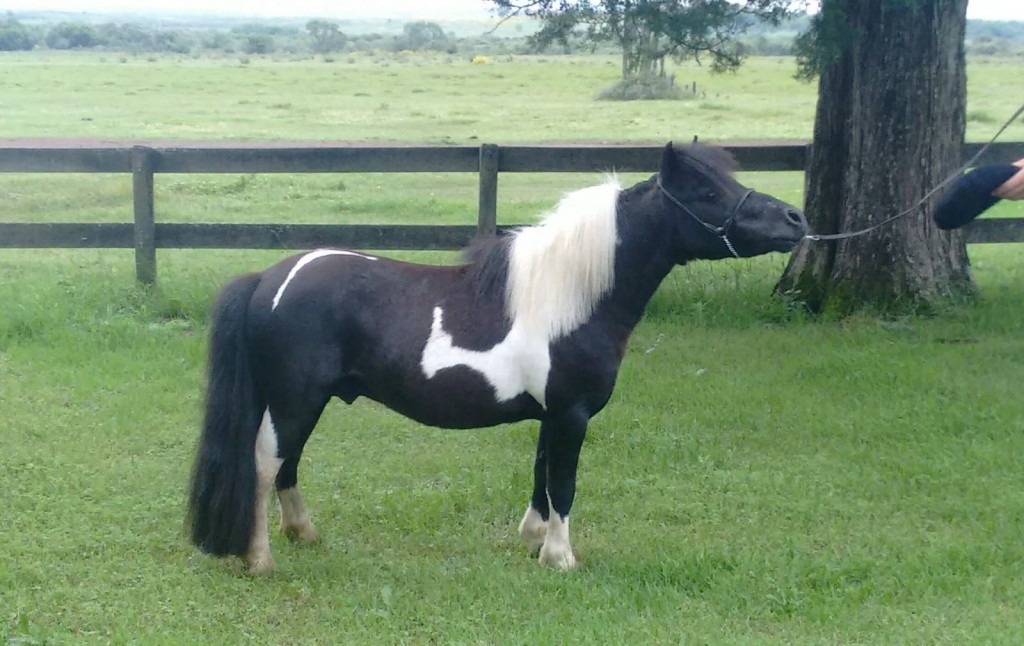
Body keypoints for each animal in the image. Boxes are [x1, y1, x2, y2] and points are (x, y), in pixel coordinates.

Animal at [186, 142, 807, 574]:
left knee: (287, 465)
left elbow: (540, 475)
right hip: (294, 401)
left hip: (301, 402)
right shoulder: (571, 415)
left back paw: (304, 534)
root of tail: (269, 278)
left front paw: (534, 540)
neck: (570, 297)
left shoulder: (553, 415)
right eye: (708, 194)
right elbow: (564, 484)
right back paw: (260, 559)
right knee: (265, 466)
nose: (796, 221)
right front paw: (561, 558)